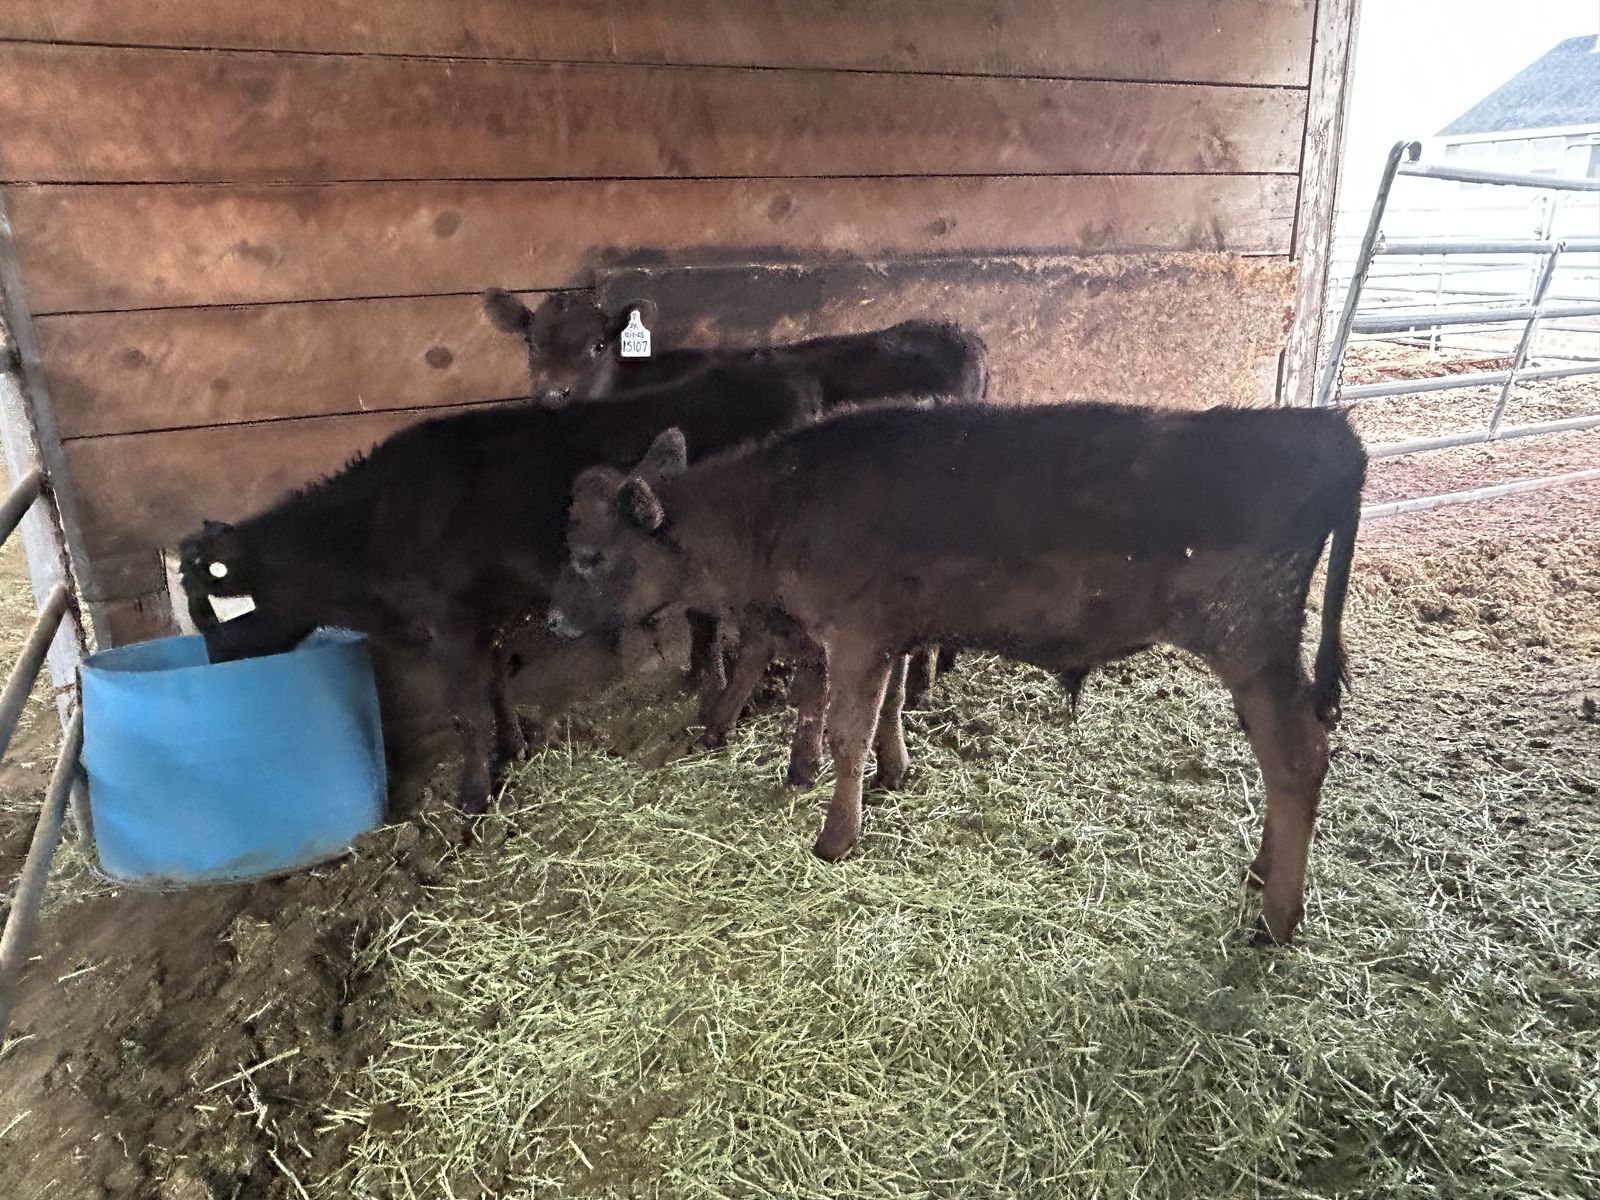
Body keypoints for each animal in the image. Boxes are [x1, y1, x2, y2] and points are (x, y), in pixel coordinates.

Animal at [178, 361, 827, 819]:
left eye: (212, 612)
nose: (207, 661)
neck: (378, 523)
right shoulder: (482, 613)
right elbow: (494, 686)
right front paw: (513, 747)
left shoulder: (449, 620)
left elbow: (465, 710)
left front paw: (472, 793)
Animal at [483, 288, 987, 711]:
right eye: (532, 343)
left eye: (597, 345)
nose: (554, 394)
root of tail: (959, 332)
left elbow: (702, 615)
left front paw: (709, 680)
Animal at [545, 402, 1367, 944]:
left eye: (588, 556)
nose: (551, 621)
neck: (780, 505)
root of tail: (1325, 429)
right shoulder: (888, 633)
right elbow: (878, 713)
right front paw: (890, 772)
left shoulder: (857, 633)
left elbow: (846, 729)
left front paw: (837, 836)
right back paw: (1261, 874)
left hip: (1250, 640)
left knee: (1297, 757)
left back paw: (1277, 918)